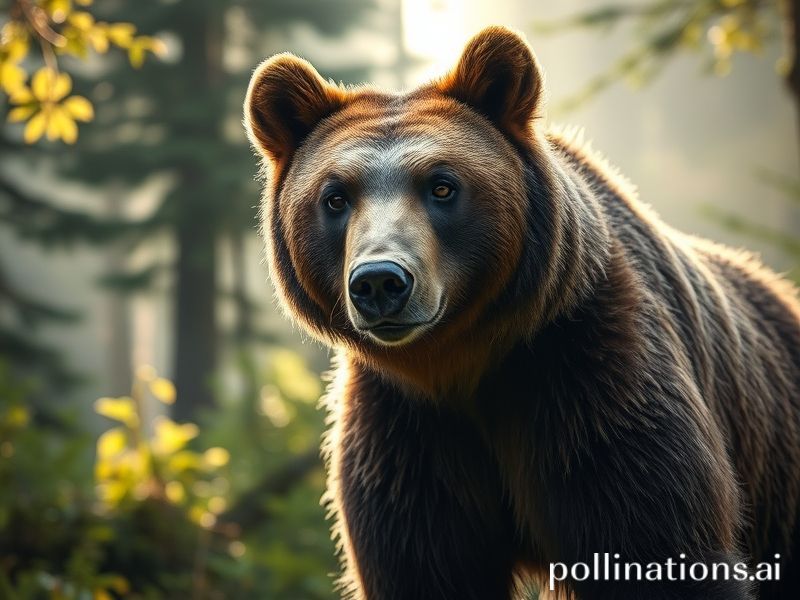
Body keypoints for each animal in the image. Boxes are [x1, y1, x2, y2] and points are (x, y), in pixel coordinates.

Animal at [244, 26, 800, 600]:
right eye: (335, 197)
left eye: (442, 185)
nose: (380, 281)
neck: (461, 361)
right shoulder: (407, 436)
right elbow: (424, 565)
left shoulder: (591, 386)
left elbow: (655, 541)